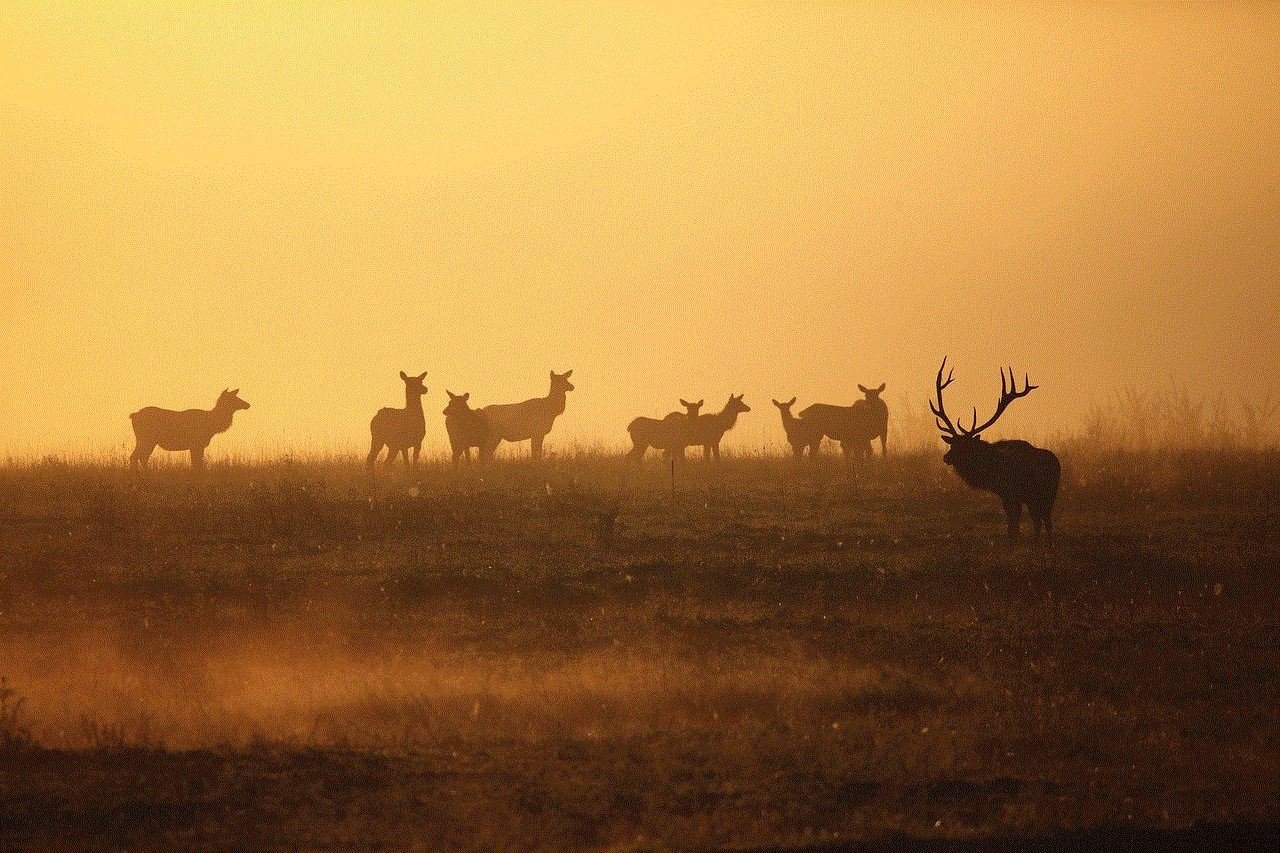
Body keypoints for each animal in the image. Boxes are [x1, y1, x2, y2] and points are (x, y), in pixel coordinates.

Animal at [931, 356, 1059, 545]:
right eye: (952, 444)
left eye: (965, 446)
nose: (946, 457)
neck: (992, 473)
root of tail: (1056, 463)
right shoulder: (1012, 496)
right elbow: (1014, 526)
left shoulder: (1010, 494)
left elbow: (1012, 527)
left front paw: (1012, 547)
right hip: (1040, 496)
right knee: (1041, 521)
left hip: (1043, 494)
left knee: (1045, 520)